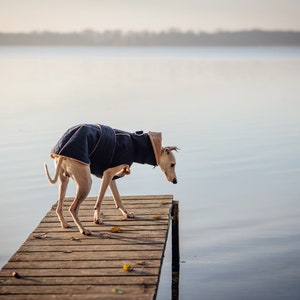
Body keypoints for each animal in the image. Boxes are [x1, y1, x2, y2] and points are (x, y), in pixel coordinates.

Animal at [44, 123, 178, 236]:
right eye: (173, 164)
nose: (175, 181)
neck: (135, 144)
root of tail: (62, 152)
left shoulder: (110, 177)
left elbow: (118, 199)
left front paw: (127, 214)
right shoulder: (108, 174)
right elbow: (99, 202)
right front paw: (97, 220)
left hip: (64, 181)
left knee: (59, 208)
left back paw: (65, 224)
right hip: (86, 184)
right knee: (73, 208)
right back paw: (83, 230)